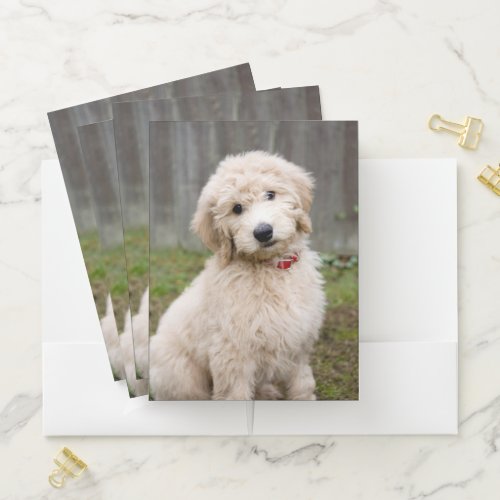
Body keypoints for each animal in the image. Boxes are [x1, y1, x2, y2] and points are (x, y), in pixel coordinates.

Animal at [150, 150, 326, 400]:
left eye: (270, 194)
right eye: (237, 208)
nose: (263, 232)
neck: (270, 268)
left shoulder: (300, 345)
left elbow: (303, 384)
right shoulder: (232, 355)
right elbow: (235, 394)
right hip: (183, 375)